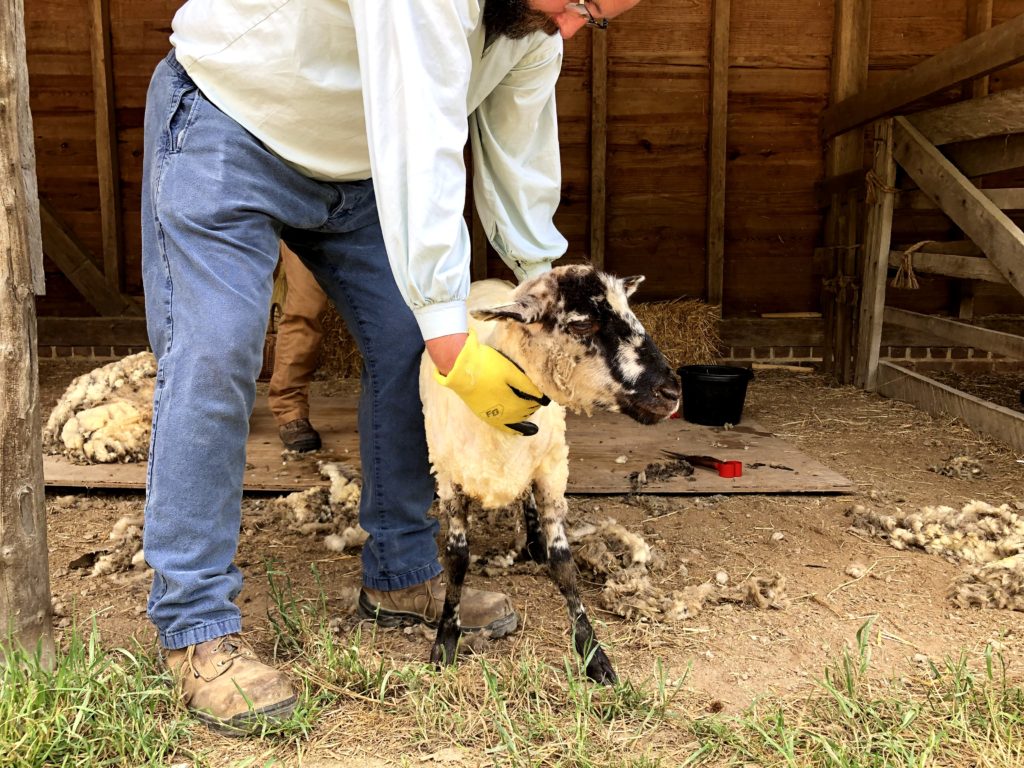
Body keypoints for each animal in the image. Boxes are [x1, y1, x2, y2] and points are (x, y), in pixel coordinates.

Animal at [419, 266, 684, 684]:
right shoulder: (449, 476)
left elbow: (563, 563)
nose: (672, 392)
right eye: (582, 324)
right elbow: (457, 559)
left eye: (630, 312)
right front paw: (445, 642)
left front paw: (593, 654)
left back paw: (534, 542)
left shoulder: (551, 469)